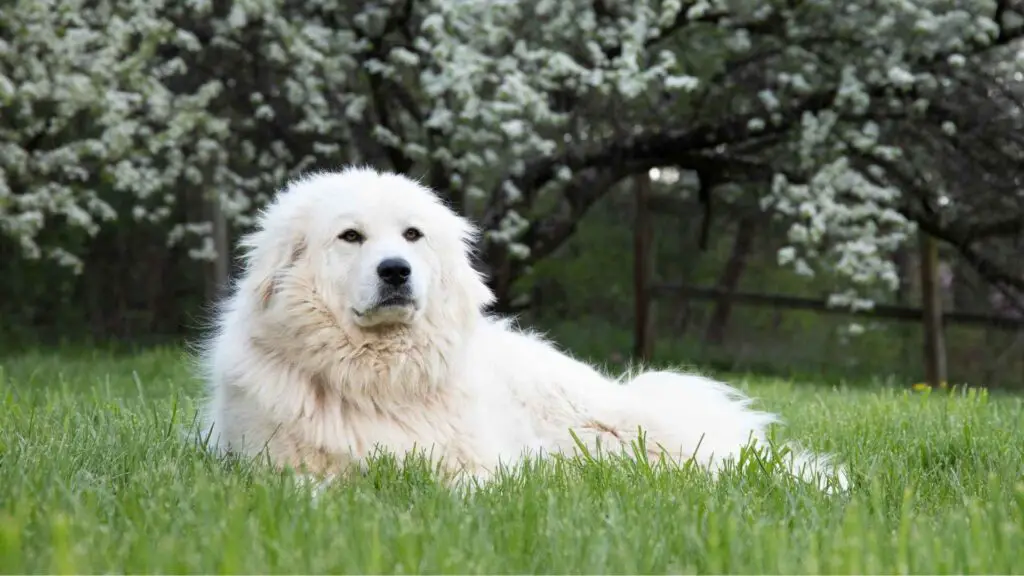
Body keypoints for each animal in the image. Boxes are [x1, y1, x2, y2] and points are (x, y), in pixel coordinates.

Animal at [197, 165, 847, 487]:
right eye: (350, 236)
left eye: (412, 235)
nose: (396, 271)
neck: (382, 380)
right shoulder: (275, 471)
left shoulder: (479, 466)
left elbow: (468, 484)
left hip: (629, 427)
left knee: (734, 461)